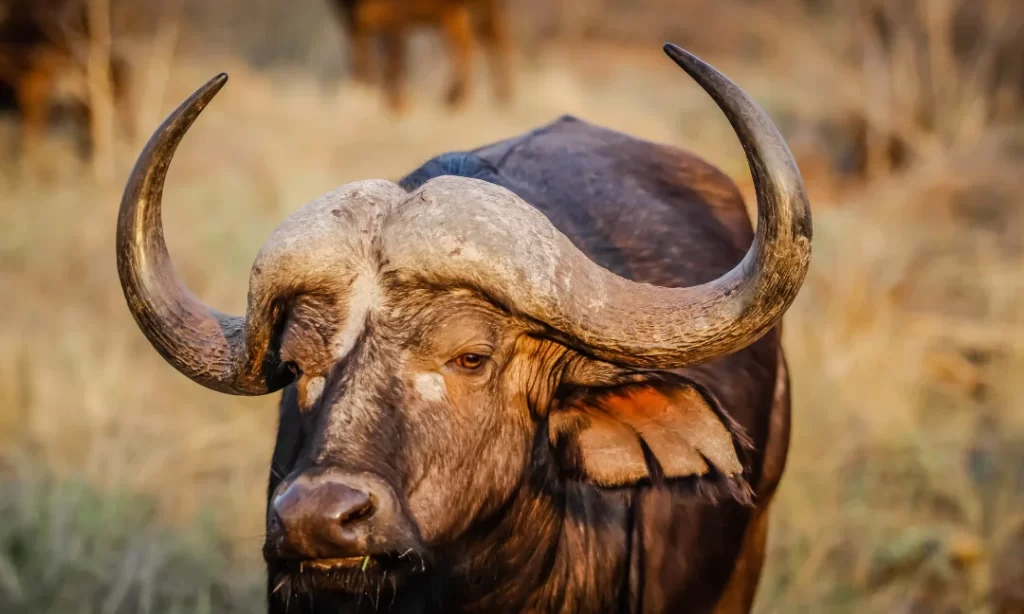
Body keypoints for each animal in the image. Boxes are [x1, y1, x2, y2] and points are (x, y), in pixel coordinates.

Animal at [329, 0, 512, 111]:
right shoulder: (354, 23)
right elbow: (361, 64)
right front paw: (361, 96)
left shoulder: (395, 20)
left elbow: (394, 66)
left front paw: (398, 107)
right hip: (453, 15)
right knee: (466, 48)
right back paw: (456, 99)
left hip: (482, 10)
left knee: (498, 42)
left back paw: (502, 98)